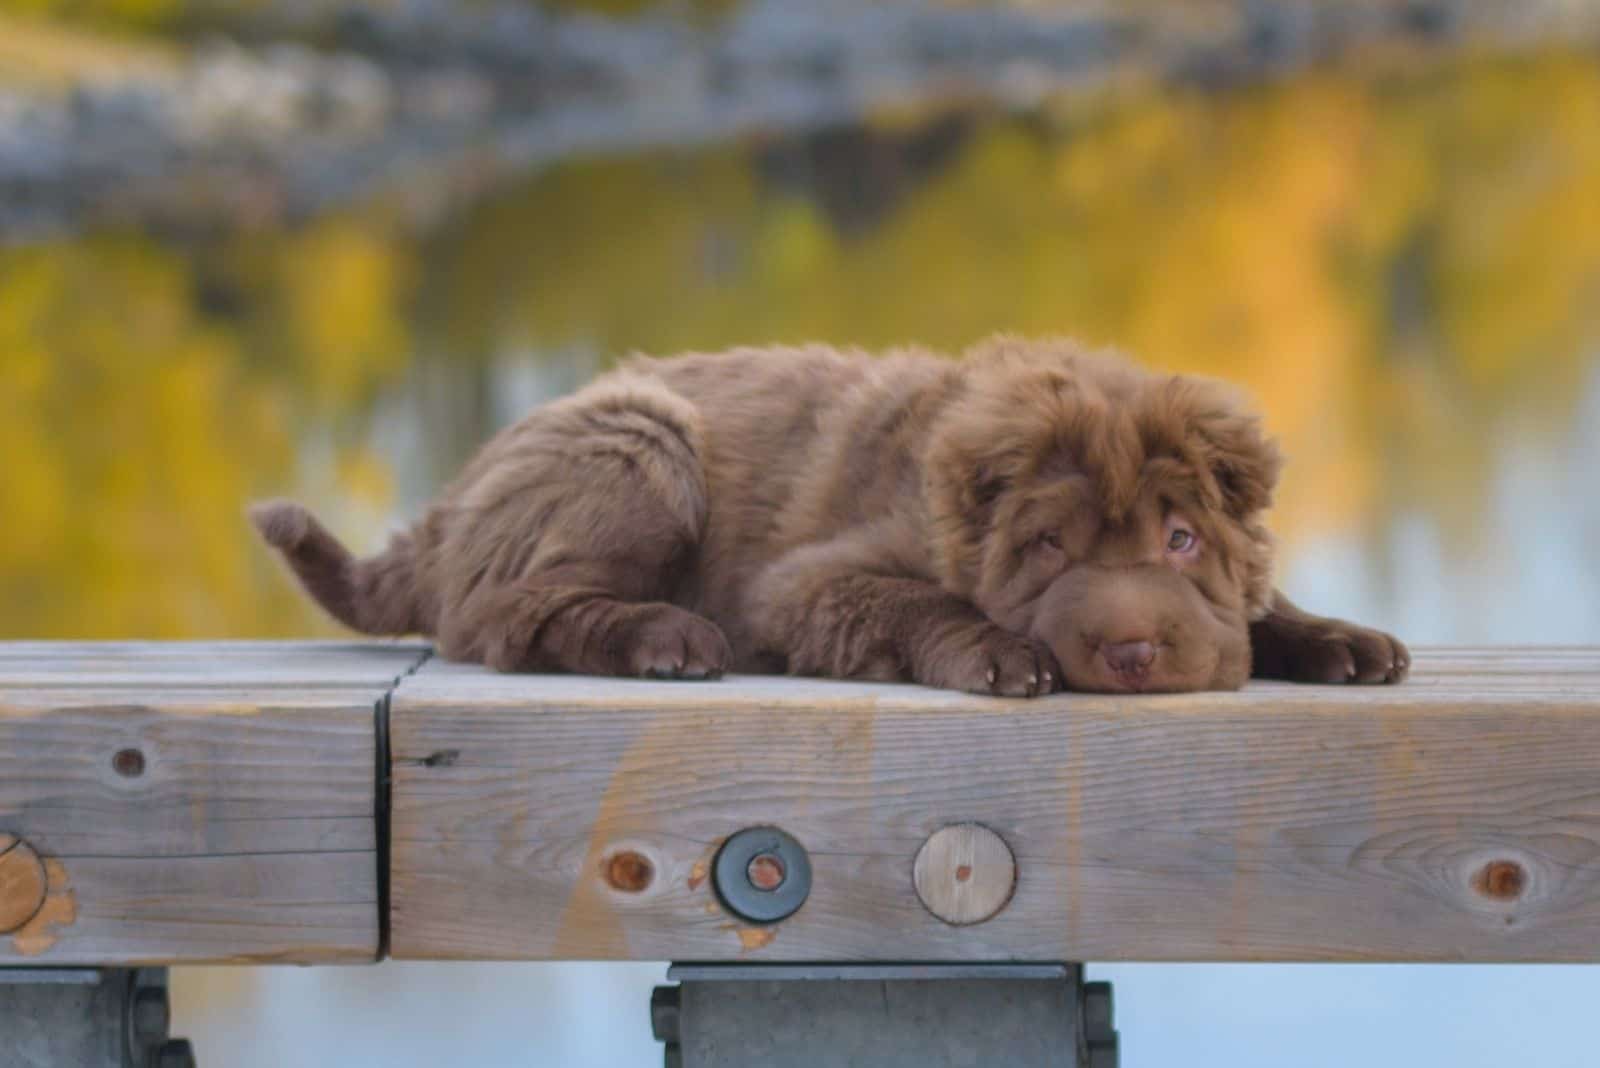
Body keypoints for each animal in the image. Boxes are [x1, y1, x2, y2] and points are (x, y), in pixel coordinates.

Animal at [252, 337, 1414, 697]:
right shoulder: (802, 583)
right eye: (1047, 547)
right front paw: (999, 652)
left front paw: (1335, 638)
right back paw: (663, 637)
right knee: (504, 613)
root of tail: (453, 497)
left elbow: (1253, 604)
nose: (1131, 652)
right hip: (642, 443)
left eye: (1182, 540)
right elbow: (913, 602)